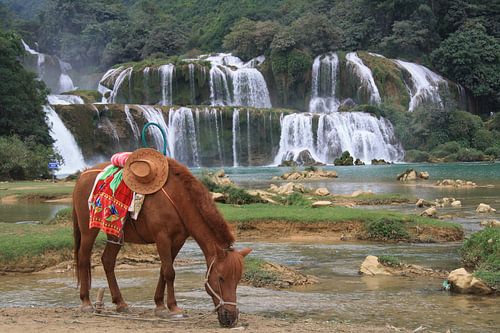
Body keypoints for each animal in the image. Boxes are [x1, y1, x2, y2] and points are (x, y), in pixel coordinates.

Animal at [72, 158, 252, 326]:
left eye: (237, 280)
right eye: (221, 278)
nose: (231, 319)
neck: (177, 199)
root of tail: (83, 175)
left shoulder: (178, 240)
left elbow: (163, 271)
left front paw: (160, 305)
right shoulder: (162, 238)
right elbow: (170, 272)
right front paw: (173, 308)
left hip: (115, 234)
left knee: (108, 261)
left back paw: (121, 304)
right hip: (88, 231)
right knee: (83, 259)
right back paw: (86, 302)